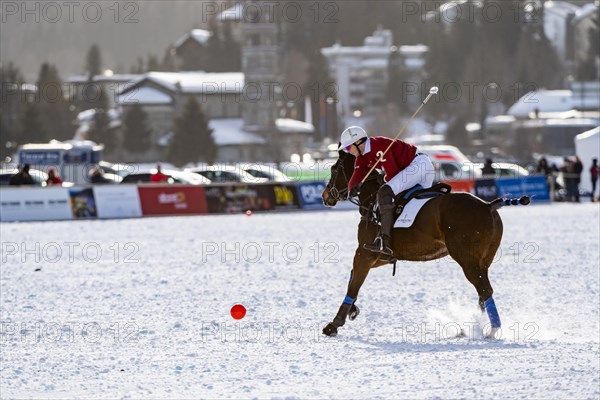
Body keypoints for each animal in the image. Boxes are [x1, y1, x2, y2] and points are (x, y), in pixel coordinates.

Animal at [322, 150, 528, 338]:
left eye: (334, 169)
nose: (325, 196)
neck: (371, 201)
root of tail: (488, 205)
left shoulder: (365, 253)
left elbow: (354, 285)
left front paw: (333, 325)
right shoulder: (381, 256)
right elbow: (352, 278)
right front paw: (352, 310)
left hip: (466, 258)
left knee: (484, 289)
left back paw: (492, 330)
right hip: (484, 260)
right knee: (482, 291)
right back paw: (477, 324)